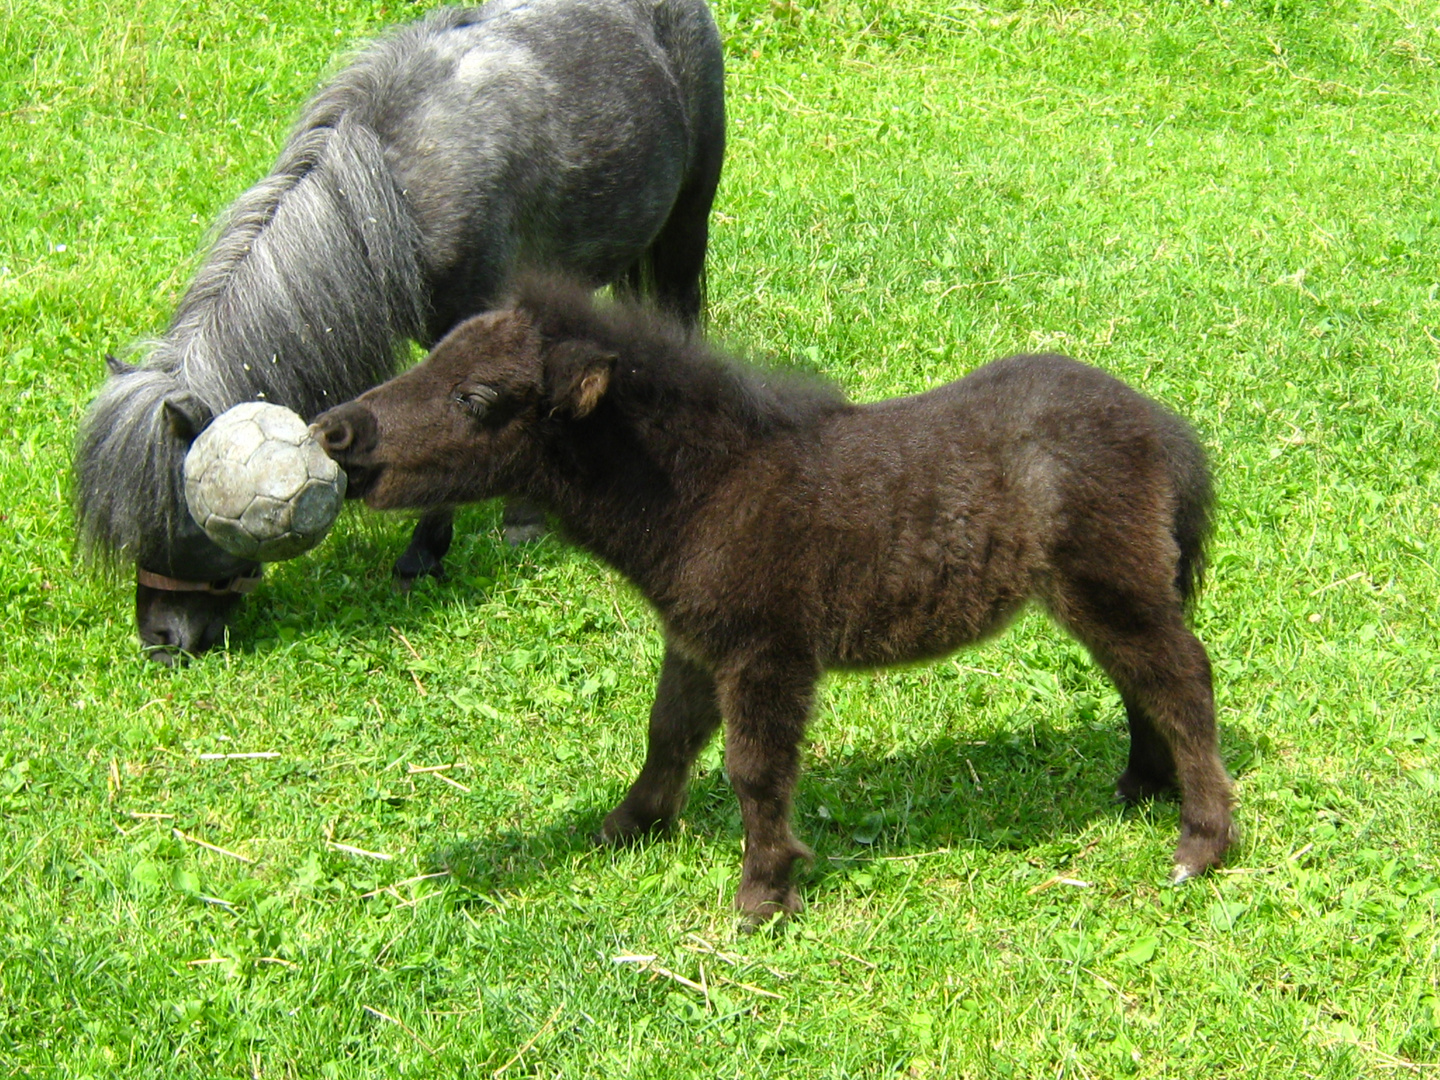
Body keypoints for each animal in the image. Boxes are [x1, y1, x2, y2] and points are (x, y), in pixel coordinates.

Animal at [315, 283, 1238, 927]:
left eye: (475, 399)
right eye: (425, 360)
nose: (335, 433)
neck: (704, 489)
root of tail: (1163, 427)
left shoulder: (768, 650)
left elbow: (755, 769)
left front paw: (763, 896)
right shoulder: (697, 640)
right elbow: (668, 734)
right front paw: (627, 827)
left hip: (1108, 581)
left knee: (1182, 678)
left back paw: (1200, 842)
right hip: (1103, 591)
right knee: (1143, 681)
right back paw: (1140, 786)